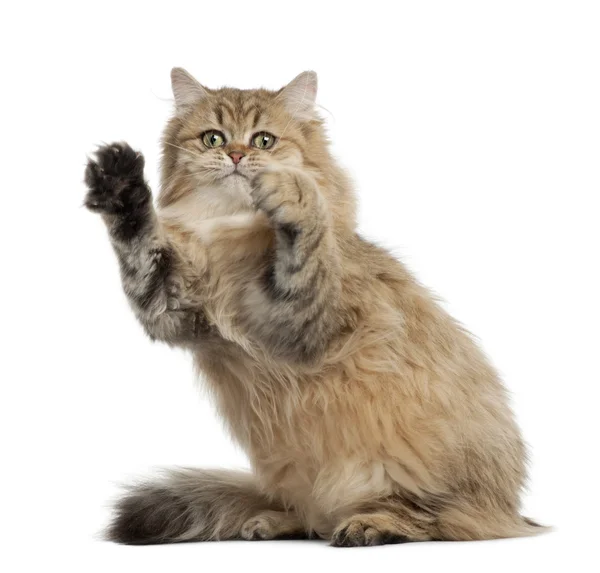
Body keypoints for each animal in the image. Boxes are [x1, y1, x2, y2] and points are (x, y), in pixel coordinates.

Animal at [84, 68, 548, 544]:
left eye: (264, 140)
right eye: (213, 138)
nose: (236, 154)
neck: (228, 235)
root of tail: (510, 508)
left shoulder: (302, 322)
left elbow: (306, 238)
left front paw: (293, 195)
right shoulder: (171, 306)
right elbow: (140, 243)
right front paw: (121, 186)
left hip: (414, 469)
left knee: (433, 519)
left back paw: (368, 524)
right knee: (312, 520)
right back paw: (270, 521)